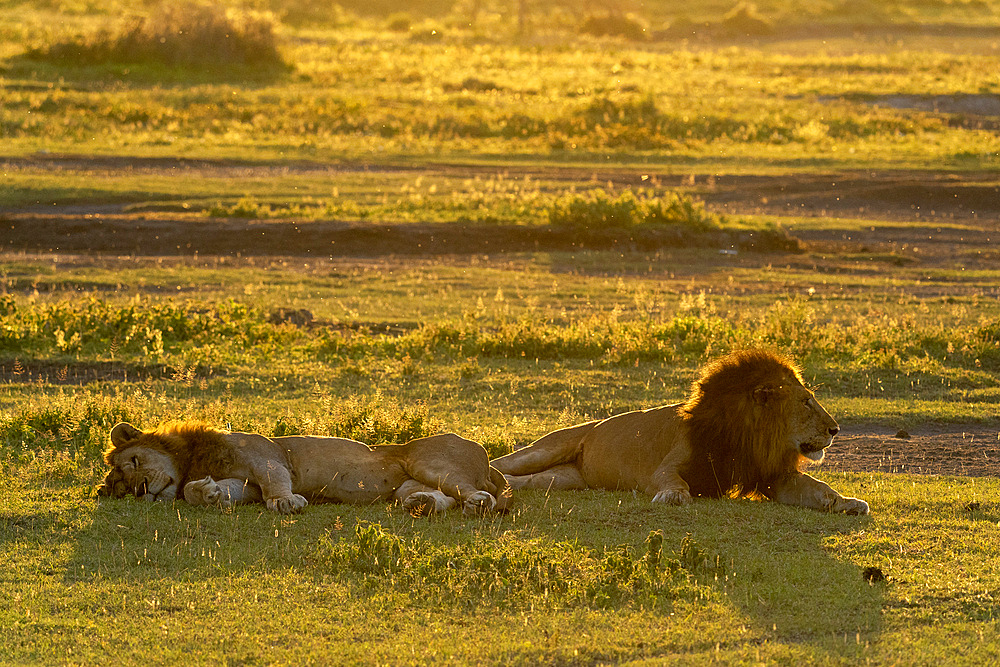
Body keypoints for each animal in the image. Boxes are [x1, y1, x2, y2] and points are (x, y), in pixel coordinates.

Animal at [492, 350, 868, 516]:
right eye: (806, 401)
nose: (835, 429)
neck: (746, 436)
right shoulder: (669, 465)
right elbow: (672, 480)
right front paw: (673, 496)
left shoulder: (770, 474)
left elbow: (815, 487)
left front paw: (847, 503)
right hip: (544, 449)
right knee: (504, 464)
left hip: (564, 479)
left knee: (527, 481)